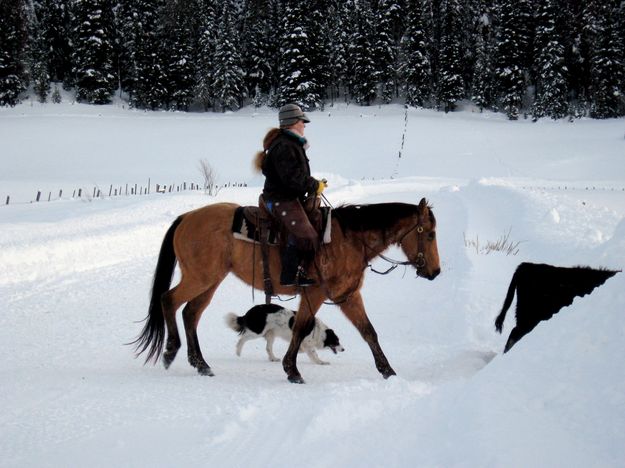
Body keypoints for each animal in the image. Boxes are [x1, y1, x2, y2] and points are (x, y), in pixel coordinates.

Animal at [131, 197, 438, 384]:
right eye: (431, 233)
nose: (435, 272)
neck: (348, 240)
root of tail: (187, 217)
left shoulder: (348, 296)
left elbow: (368, 332)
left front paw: (388, 371)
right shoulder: (314, 294)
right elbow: (301, 328)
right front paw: (293, 371)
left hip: (210, 280)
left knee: (191, 313)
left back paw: (200, 363)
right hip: (200, 277)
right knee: (168, 300)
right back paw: (171, 351)